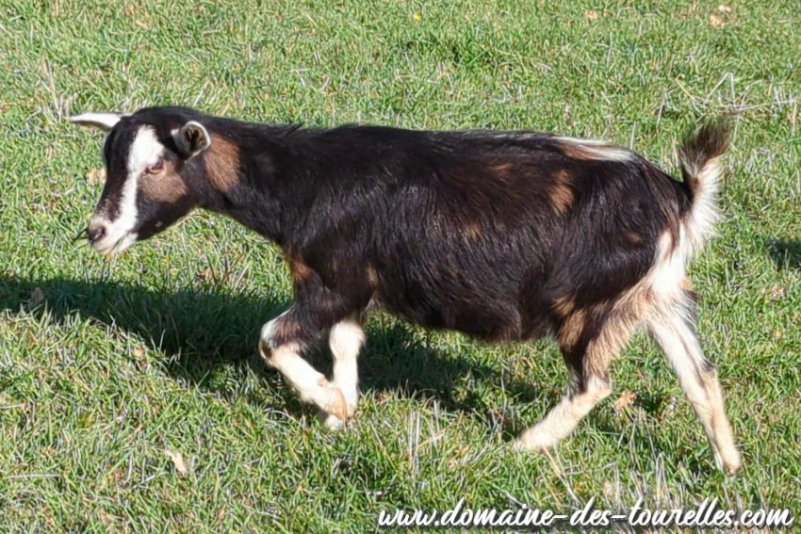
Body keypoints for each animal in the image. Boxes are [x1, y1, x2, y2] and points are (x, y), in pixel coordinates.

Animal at [71, 107, 741, 473]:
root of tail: (680, 197)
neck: (302, 182)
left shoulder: (330, 281)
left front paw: (331, 403)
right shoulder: (354, 291)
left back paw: (525, 445)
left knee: (594, 383)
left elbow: (270, 339)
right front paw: (341, 410)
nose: (97, 231)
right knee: (699, 375)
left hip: (589, 305)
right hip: (655, 295)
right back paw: (728, 464)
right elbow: (345, 345)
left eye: (156, 166)